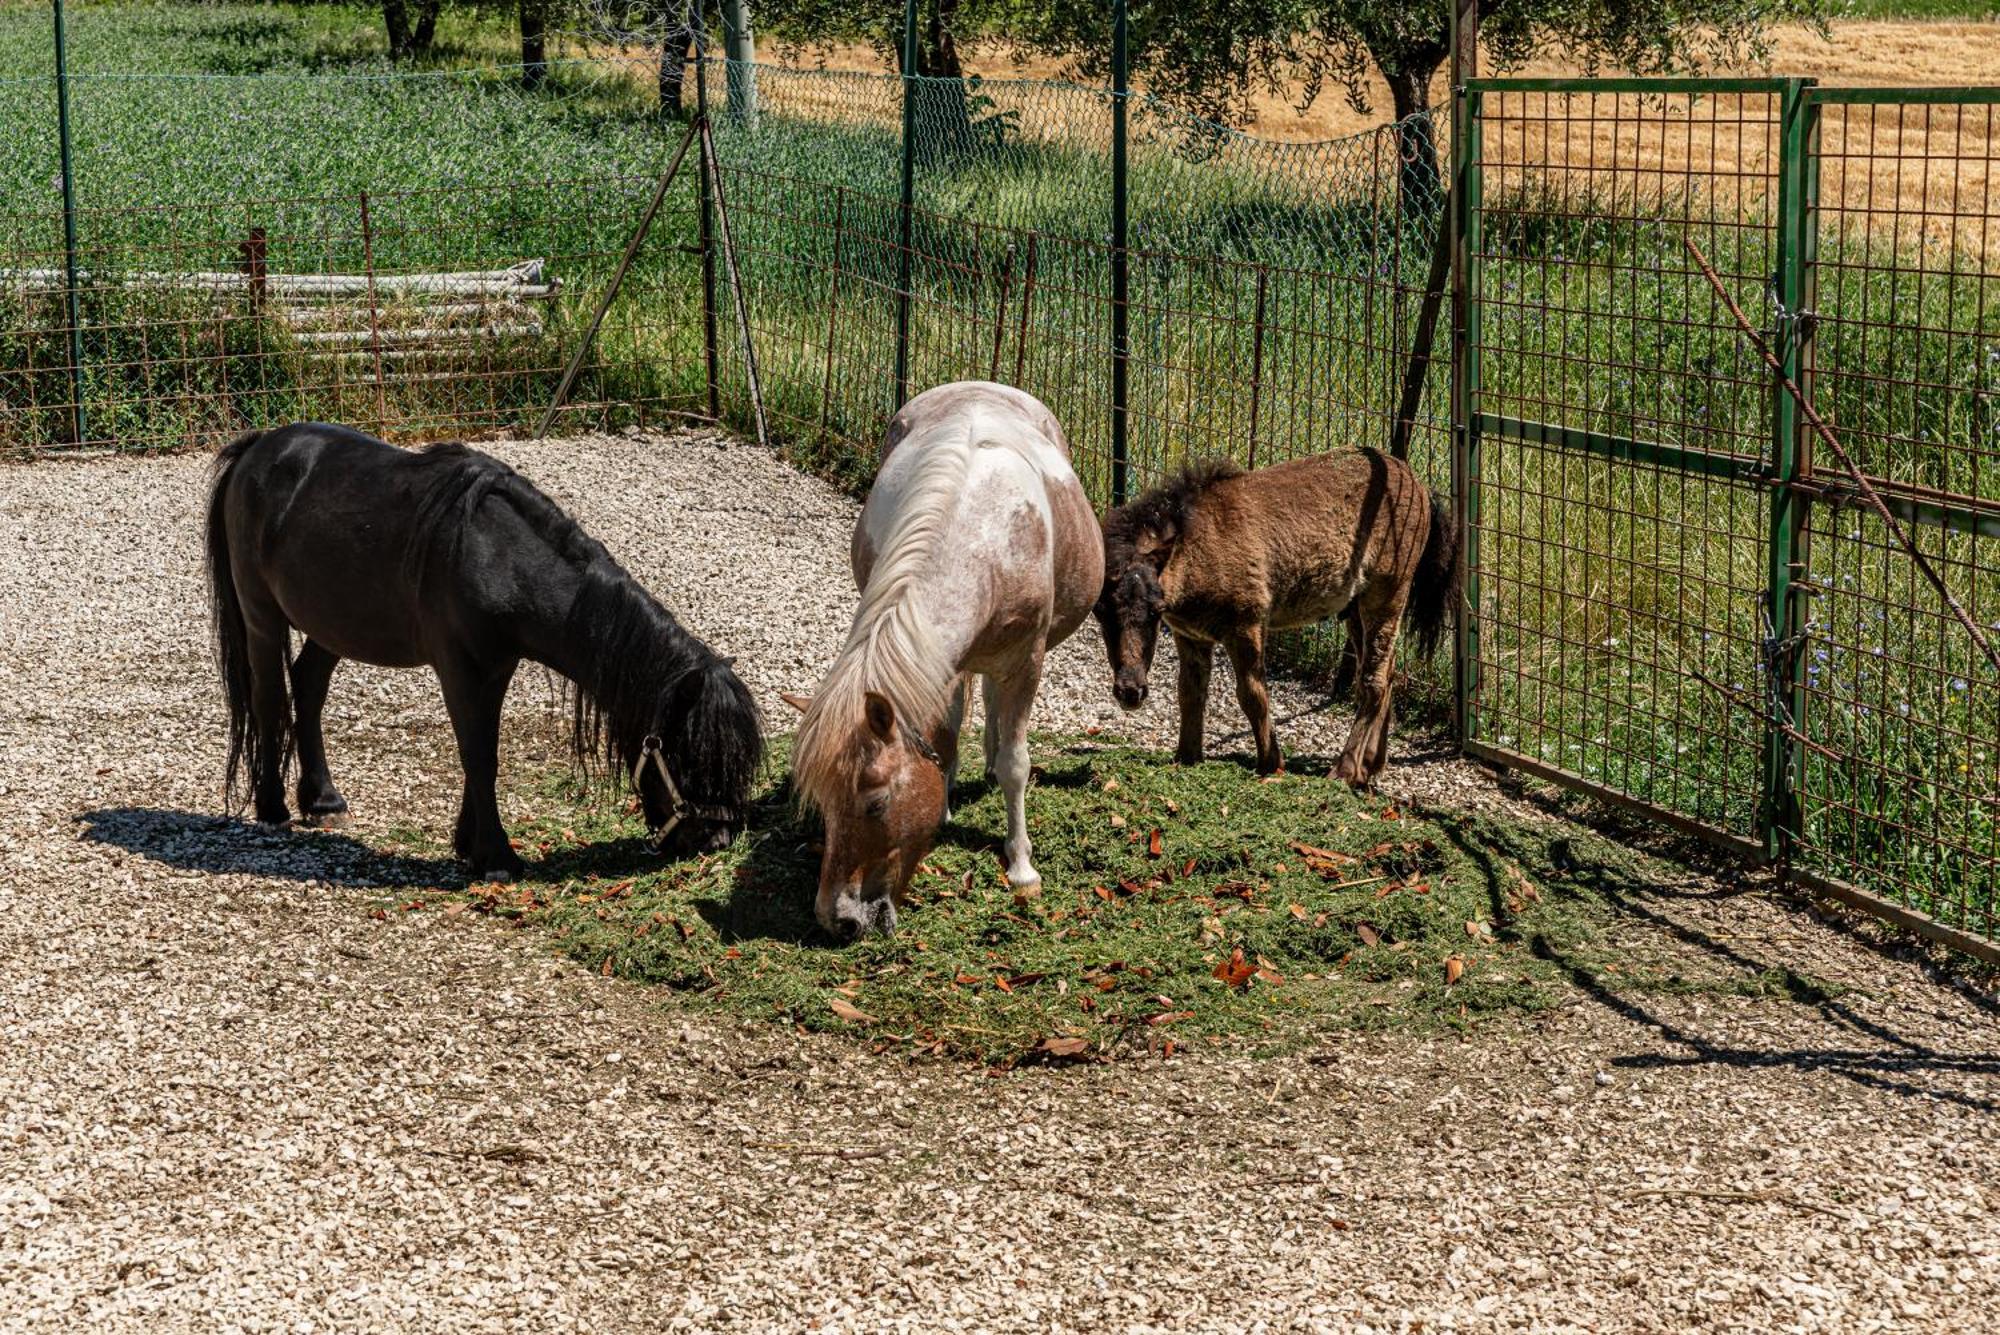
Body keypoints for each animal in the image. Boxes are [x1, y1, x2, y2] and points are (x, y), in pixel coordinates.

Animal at [207, 425, 760, 875]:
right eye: (688, 752)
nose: (716, 838)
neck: (499, 558)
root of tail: (256, 447)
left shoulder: (496, 670)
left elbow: (484, 752)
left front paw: (468, 845)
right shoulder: (461, 669)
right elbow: (478, 755)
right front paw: (497, 857)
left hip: (333, 625)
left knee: (308, 689)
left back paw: (323, 801)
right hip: (262, 618)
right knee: (269, 699)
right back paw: (273, 809)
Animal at [780, 377, 1104, 939]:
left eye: (876, 803)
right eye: (822, 804)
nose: (835, 918)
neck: (982, 539)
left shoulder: (1026, 662)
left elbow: (1018, 762)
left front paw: (1021, 866)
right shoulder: (937, 662)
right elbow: (947, 737)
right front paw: (946, 802)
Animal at [1096, 451, 1456, 783]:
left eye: (1155, 610)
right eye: (1100, 611)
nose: (1130, 691)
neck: (1197, 546)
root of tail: (1420, 488)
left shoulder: (1246, 625)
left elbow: (1253, 695)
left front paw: (1271, 762)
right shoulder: (1191, 636)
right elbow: (1190, 693)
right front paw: (1186, 756)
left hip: (1387, 593)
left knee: (1373, 681)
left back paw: (1345, 769)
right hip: (1356, 608)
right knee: (1389, 670)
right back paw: (1371, 764)